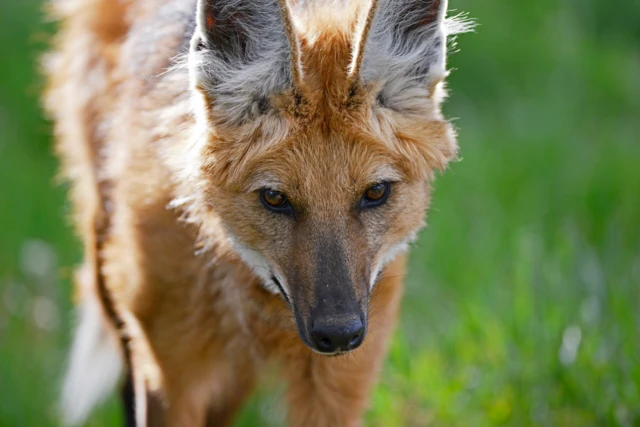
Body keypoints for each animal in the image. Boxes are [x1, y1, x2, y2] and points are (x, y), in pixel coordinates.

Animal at [43, 0, 470, 424]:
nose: (337, 335)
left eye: (375, 192)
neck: (254, 296)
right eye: (275, 198)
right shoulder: (170, 373)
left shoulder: (335, 385)